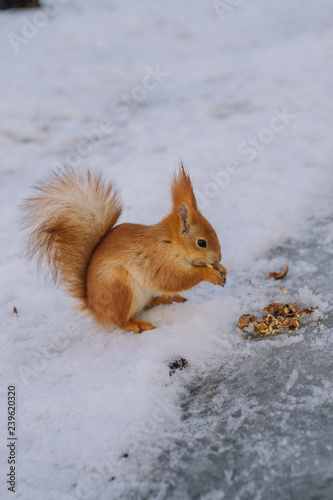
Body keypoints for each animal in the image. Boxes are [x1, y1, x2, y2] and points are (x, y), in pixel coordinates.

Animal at [22, 166, 226, 334]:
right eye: (202, 242)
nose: (218, 257)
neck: (171, 242)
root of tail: (95, 309)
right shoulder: (157, 259)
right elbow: (171, 279)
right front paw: (209, 274)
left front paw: (221, 268)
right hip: (119, 287)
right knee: (120, 320)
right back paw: (135, 324)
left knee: (145, 305)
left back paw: (164, 299)